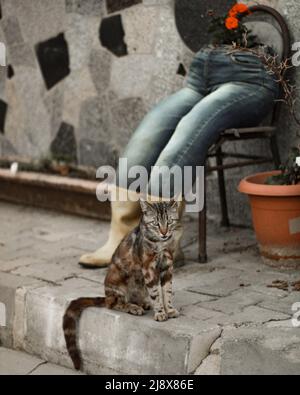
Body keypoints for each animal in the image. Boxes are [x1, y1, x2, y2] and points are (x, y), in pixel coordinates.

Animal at [63, 201, 180, 372]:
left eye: (169, 222)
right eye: (155, 223)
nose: (164, 233)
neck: (161, 243)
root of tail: (106, 295)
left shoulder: (167, 267)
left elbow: (167, 291)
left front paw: (169, 310)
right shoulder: (149, 269)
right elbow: (156, 294)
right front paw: (160, 312)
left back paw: (143, 303)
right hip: (119, 281)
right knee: (114, 304)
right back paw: (133, 307)